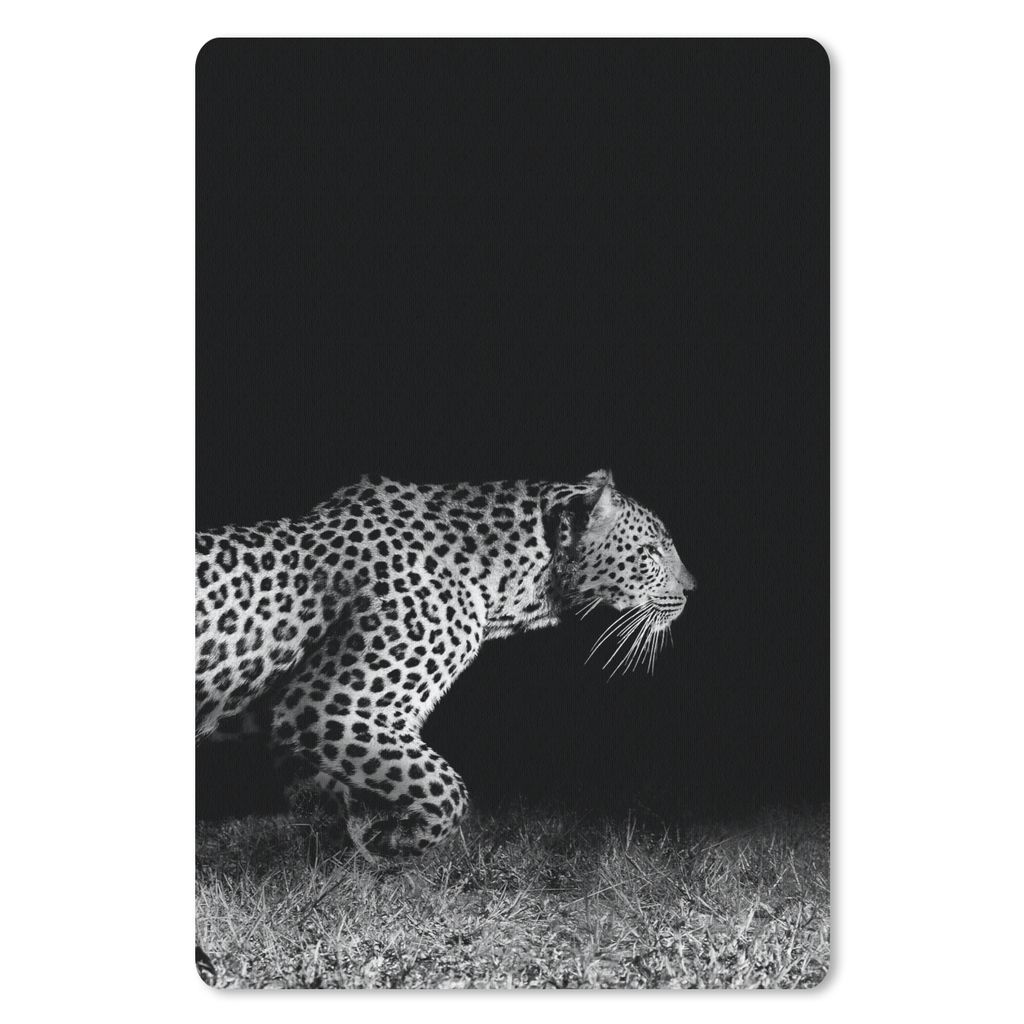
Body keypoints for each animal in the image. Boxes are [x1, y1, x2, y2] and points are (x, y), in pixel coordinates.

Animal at [195, 469, 696, 858]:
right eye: (652, 552)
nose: (693, 589)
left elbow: (344, 791)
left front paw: (356, 847)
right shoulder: (329, 706)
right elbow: (445, 787)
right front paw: (398, 842)